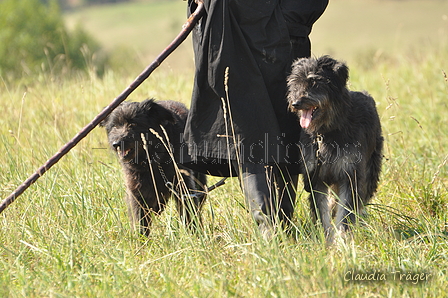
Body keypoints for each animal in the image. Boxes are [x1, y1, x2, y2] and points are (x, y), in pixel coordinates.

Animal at [100, 99, 206, 236]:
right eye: (114, 126)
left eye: (133, 123)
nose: (116, 144)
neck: (152, 161)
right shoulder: (136, 191)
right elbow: (139, 219)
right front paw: (141, 239)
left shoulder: (184, 185)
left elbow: (189, 212)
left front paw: (194, 234)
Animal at [288, 56, 384, 242]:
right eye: (295, 83)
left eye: (315, 82)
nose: (296, 103)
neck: (326, 132)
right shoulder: (315, 177)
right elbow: (322, 212)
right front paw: (327, 240)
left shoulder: (350, 174)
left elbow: (345, 212)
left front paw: (343, 241)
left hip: (371, 170)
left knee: (361, 198)